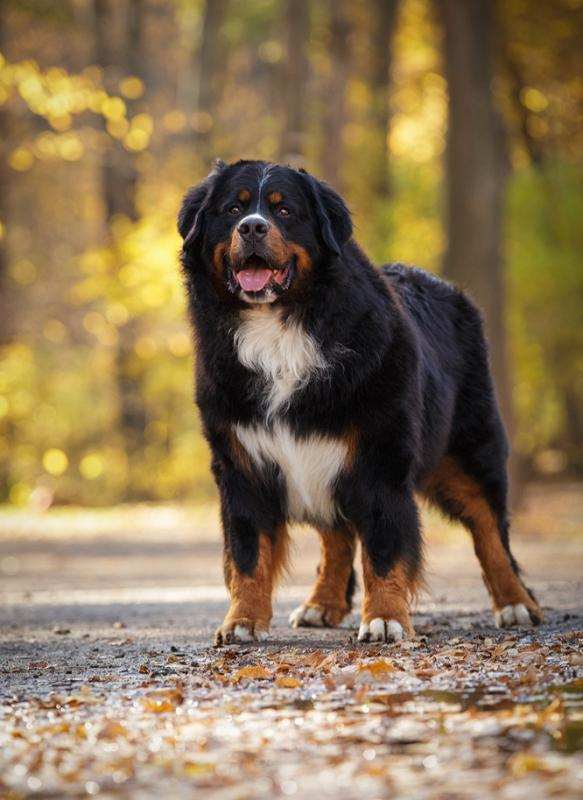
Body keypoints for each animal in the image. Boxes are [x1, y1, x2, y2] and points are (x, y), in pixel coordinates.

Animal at [178, 159, 544, 648]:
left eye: (284, 210)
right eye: (232, 209)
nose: (252, 227)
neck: (281, 328)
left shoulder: (379, 456)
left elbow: (384, 545)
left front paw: (385, 618)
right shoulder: (242, 462)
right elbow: (248, 552)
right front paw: (242, 620)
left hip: (469, 449)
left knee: (490, 530)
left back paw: (515, 603)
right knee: (336, 536)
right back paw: (322, 603)